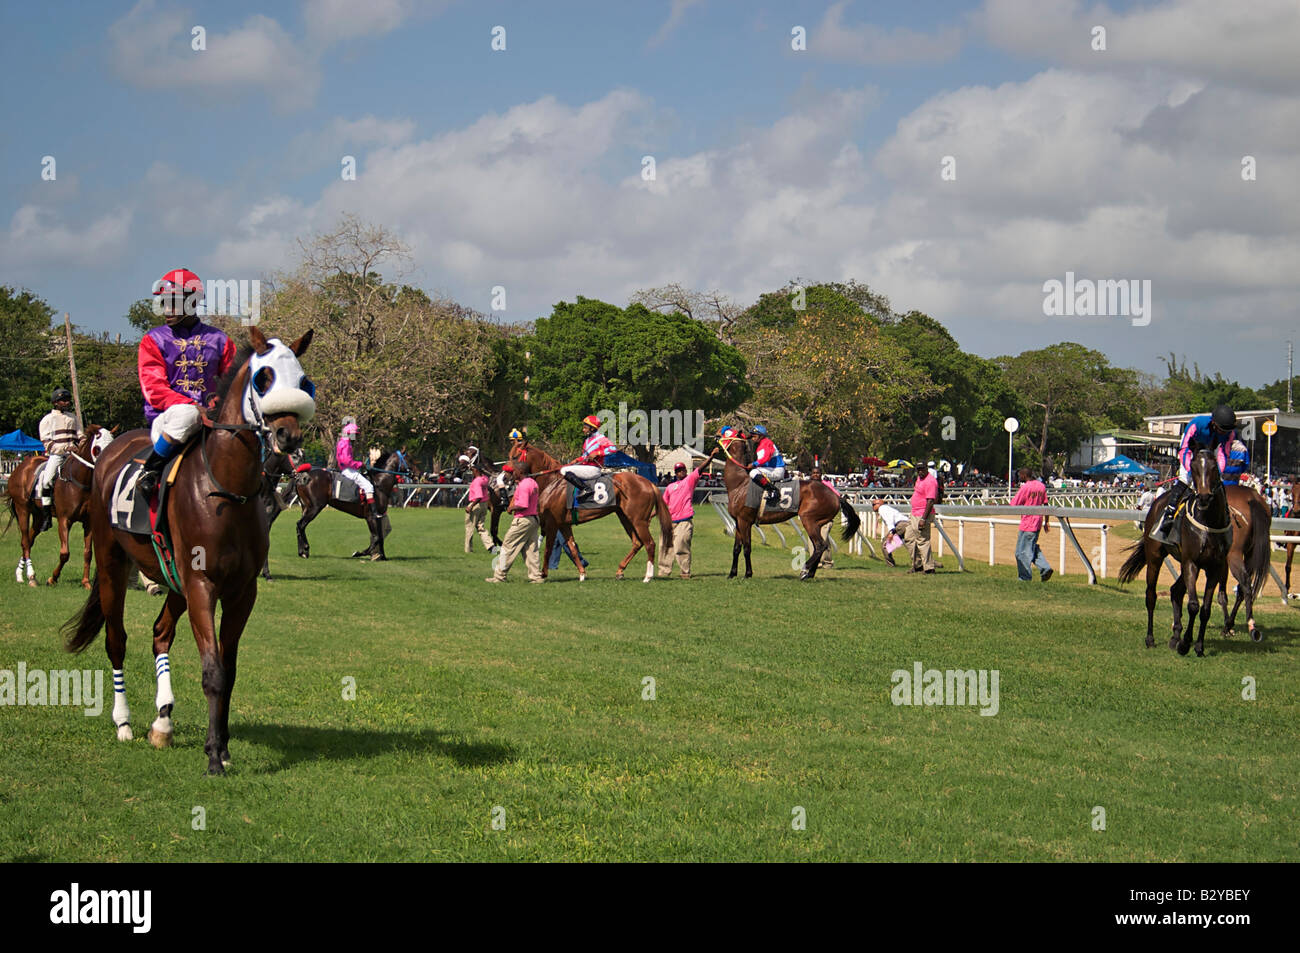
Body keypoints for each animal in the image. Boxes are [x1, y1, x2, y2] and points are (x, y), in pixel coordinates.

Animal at [4, 425, 116, 588]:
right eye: (98, 448)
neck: (79, 480)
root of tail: (21, 467)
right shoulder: (64, 520)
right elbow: (65, 553)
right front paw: (53, 578)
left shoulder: (88, 522)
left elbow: (88, 553)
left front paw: (86, 582)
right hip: (22, 509)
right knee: (25, 541)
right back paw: (31, 576)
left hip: (39, 517)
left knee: (29, 541)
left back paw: (20, 573)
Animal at [61, 326, 314, 775]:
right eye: (263, 378)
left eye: (303, 381)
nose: (289, 436)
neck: (226, 491)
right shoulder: (201, 584)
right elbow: (212, 670)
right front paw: (214, 755)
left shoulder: (241, 591)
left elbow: (229, 669)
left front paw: (223, 746)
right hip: (112, 565)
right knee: (116, 639)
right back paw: (124, 722)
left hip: (172, 578)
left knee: (160, 634)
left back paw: (162, 722)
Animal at [508, 433, 671, 582]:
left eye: (515, 457)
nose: (507, 476)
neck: (552, 483)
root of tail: (649, 483)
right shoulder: (564, 524)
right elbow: (572, 547)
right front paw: (582, 573)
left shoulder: (552, 523)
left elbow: (548, 549)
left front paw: (543, 574)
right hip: (625, 517)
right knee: (637, 543)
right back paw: (620, 571)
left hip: (639, 520)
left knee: (650, 544)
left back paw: (648, 576)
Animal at [716, 432, 860, 579]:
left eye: (727, 433)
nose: (716, 436)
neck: (739, 484)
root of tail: (836, 496)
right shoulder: (738, 522)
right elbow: (736, 548)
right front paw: (732, 574)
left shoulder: (745, 521)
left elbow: (747, 548)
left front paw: (747, 574)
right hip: (818, 523)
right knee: (819, 546)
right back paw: (810, 573)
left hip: (808, 519)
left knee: (820, 545)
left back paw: (804, 571)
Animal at [1117, 449, 1235, 657]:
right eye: (1194, 468)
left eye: (1214, 467)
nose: (1204, 497)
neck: (1209, 523)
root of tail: (1156, 503)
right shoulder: (1191, 563)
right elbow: (1194, 605)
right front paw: (1185, 644)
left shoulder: (1214, 567)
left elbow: (1205, 609)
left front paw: (1198, 646)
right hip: (1156, 557)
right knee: (1151, 595)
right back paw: (1151, 638)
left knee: (1175, 591)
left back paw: (1175, 636)